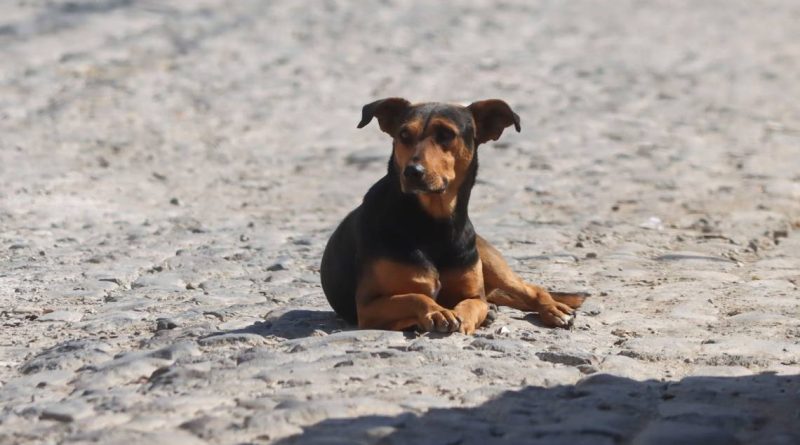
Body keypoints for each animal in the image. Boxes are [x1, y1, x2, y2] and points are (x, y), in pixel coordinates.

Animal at [320, 97, 588, 332]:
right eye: (403, 135)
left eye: (446, 134)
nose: (412, 172)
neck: (433, 223)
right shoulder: (368, 306)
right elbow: (416, 296)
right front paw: (438, 312)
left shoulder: (474, 295)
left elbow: (469, 305)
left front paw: (462, 319)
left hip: (492, 264)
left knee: (532, 289)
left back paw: (553, 309)